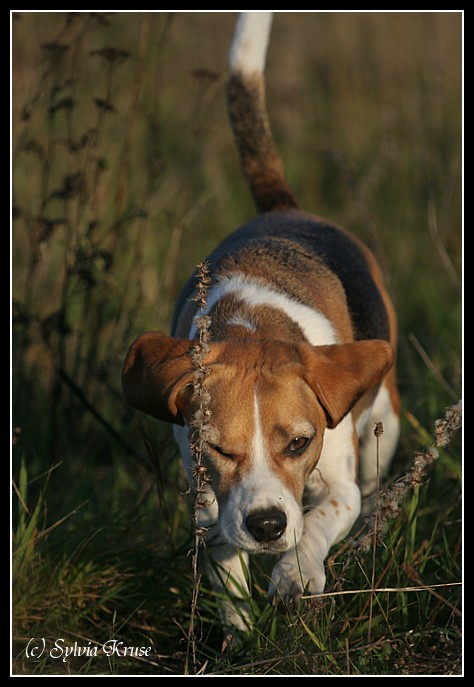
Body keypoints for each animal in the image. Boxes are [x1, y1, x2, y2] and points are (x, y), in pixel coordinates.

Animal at [121, 12, 400, 636]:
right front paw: (241, 635)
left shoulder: (338, 477)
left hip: (383, 427)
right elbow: (226, 571)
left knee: (370, 489)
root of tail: (283, 209)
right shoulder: (207, 508)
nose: (268, 526)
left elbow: (324, 516)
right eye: (216, 450)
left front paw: (296, 572)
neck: (249, 325)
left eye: (298, 443)